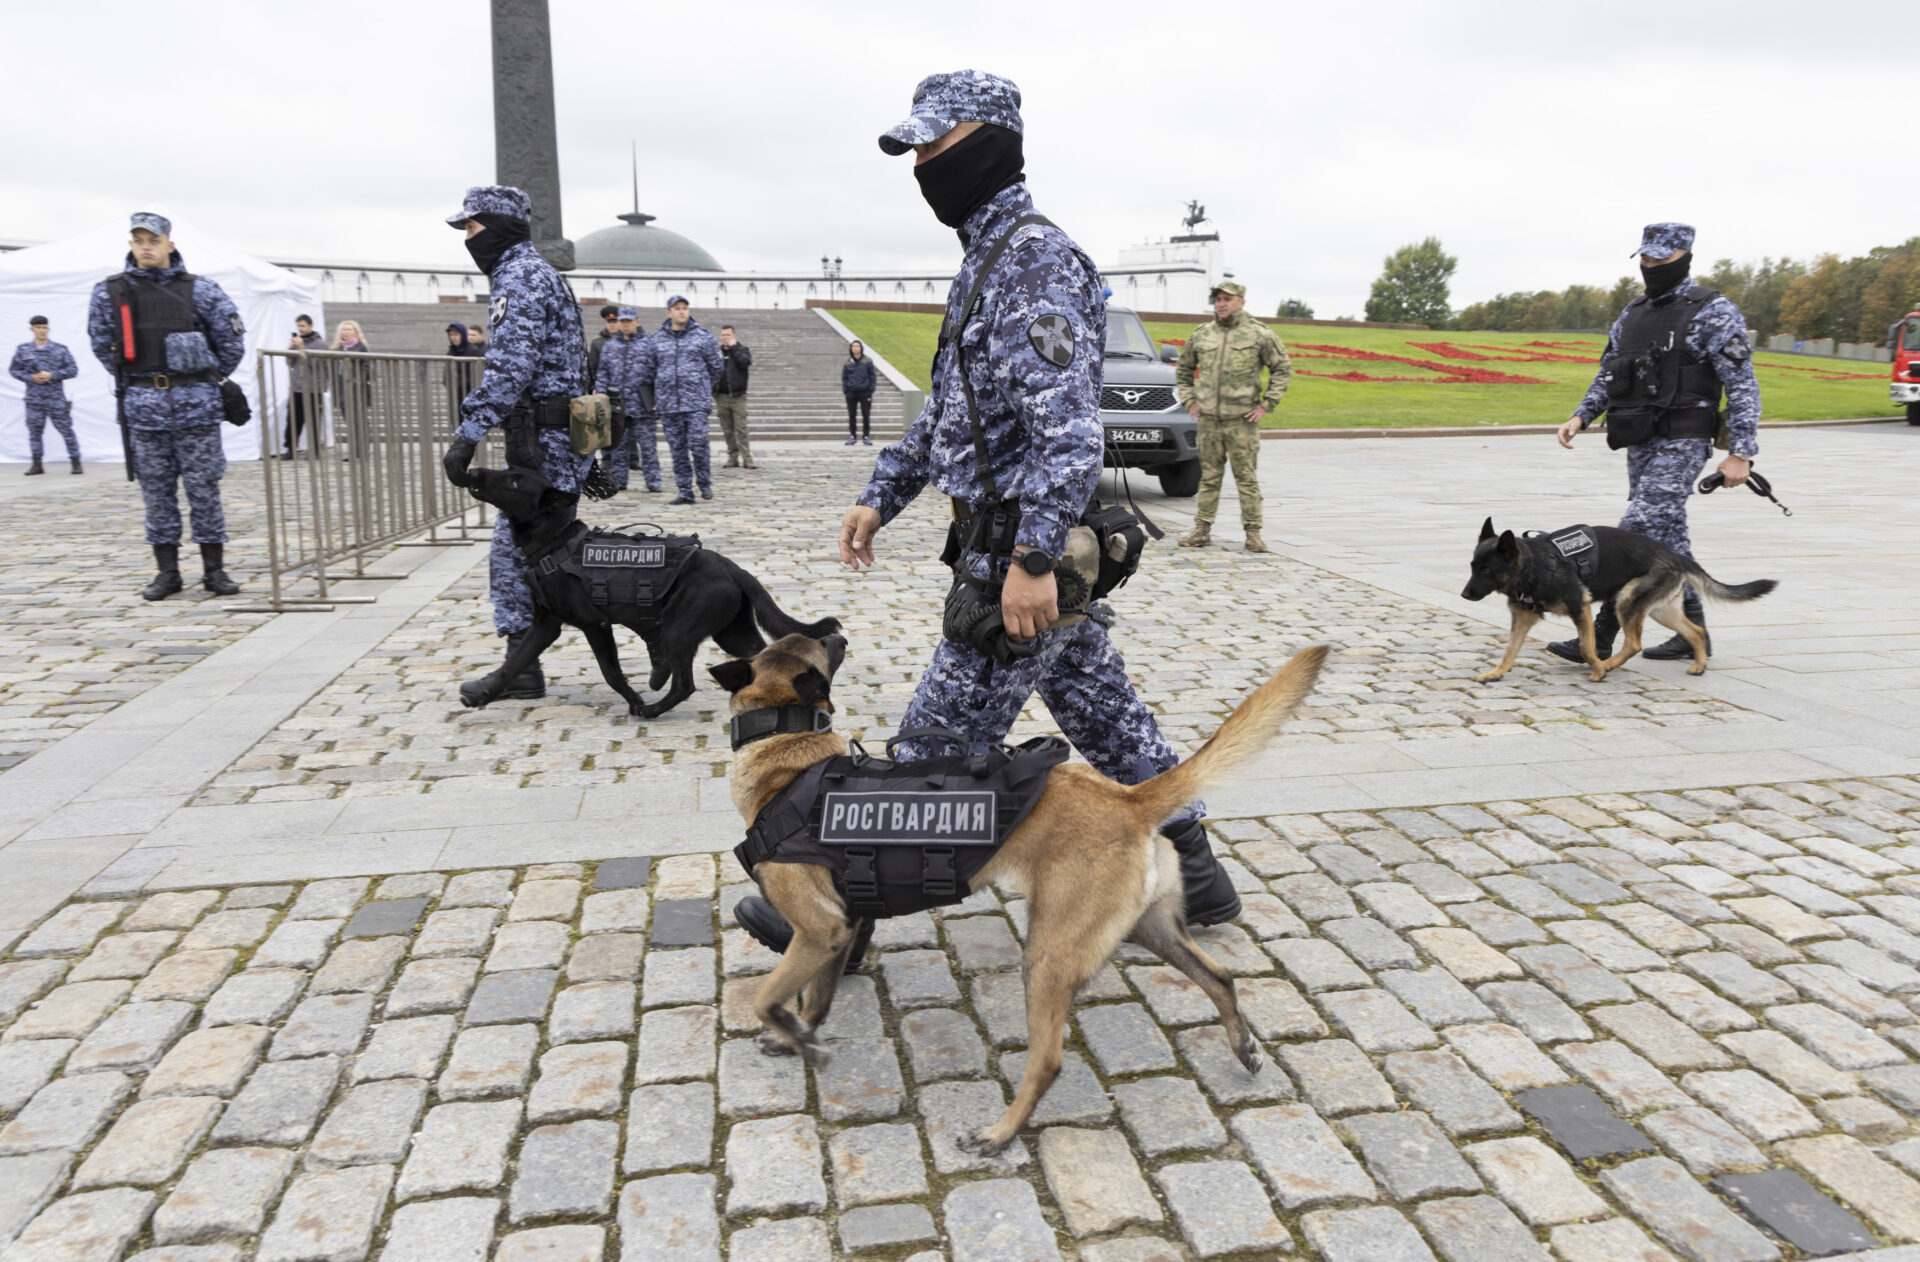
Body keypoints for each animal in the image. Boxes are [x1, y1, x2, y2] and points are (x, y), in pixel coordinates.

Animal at [461, 465, 840, 718]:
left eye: (513, 480)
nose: (473, 470)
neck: (554, 541)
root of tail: (735, 568)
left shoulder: (595, 626)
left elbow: (612, 673)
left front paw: (635, 701)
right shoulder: (545, 626)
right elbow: (512, 664)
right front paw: (482, 695)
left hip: (678, 631)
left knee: (684, 684)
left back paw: (655, 709)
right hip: (731, 634)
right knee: (764, 656)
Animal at [711, 630, 1330, 1156]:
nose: (837, 631)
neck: (791, 758)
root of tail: (1129, 799)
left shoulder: (817, 932)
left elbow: (766, 998)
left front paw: (800, 1040)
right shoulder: (840, 930)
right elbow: (814, 1000)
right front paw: (797, 1037)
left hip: (1048, 959)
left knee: (1048, 1061)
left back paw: (999, 1132)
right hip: (1149, 928)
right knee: (1220, 978)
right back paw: (1243, 1046)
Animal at [1462, 517, 1775, 682]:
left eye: (1487, 570)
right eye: (1472, 567)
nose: (1464, 594)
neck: (1532, 565)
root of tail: (1675, 555)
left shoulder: (1580, 608)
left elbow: (1587, 646)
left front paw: (1598, 670)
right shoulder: (1523, 617)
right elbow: (1510, 649)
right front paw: (1497, 672)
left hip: (1628, 600)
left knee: (1635, 643)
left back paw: (1610, 665)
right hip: (1660, 610)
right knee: (1695, 630)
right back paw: (1699, 664)